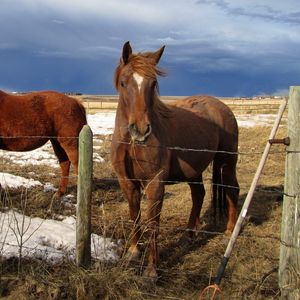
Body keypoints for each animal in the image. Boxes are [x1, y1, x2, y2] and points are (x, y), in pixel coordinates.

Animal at [111, 41, 240, 280]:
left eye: (153, 83)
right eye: (124, 82)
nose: (140, 130)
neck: (131, 143)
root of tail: (222, 107)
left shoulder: (155, 183)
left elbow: (153, 223)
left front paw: (152, 270)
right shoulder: (126, 182)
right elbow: (135, 215)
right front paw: (133, 251)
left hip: (227, 162)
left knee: (232, 189)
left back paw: (229, 231)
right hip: (195, 170)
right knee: (199, 195)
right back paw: (189, 234)